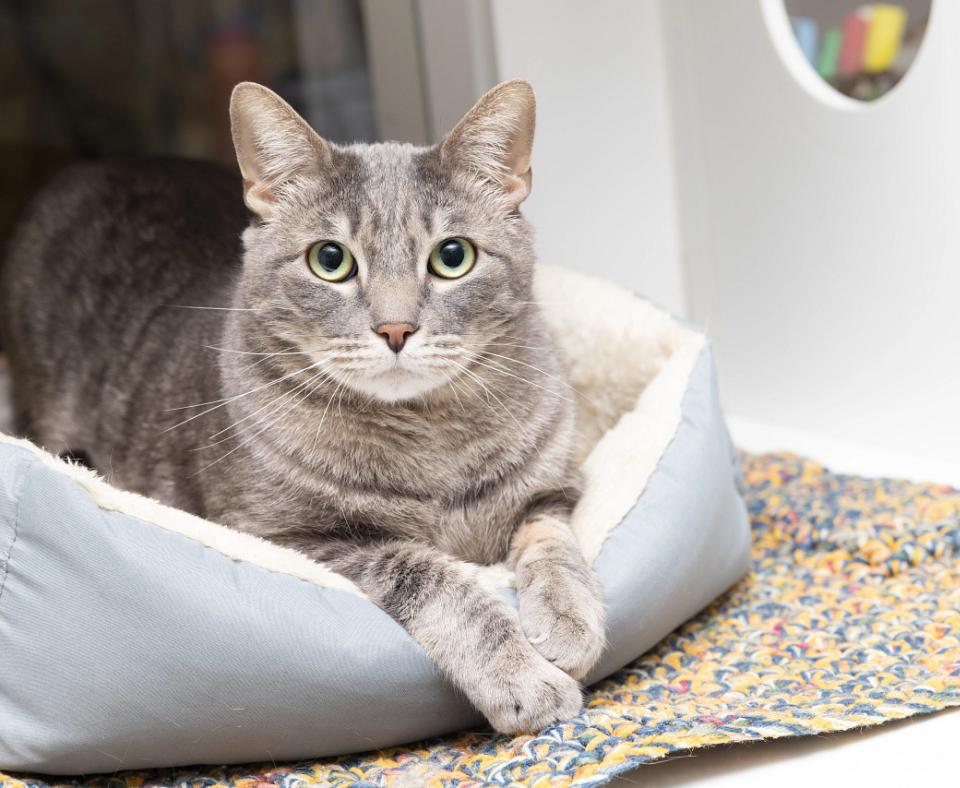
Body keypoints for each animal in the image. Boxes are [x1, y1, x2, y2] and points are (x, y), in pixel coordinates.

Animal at [1, 80, 608, 732]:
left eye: (452, 256)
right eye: (330, 260)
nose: (396, 329)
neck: (428, 439)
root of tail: (90, 166)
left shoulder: (551, 491)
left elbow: (555, 545)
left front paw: (569, 622)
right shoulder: (298, 539)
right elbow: (433, 578)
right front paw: (522, 678)